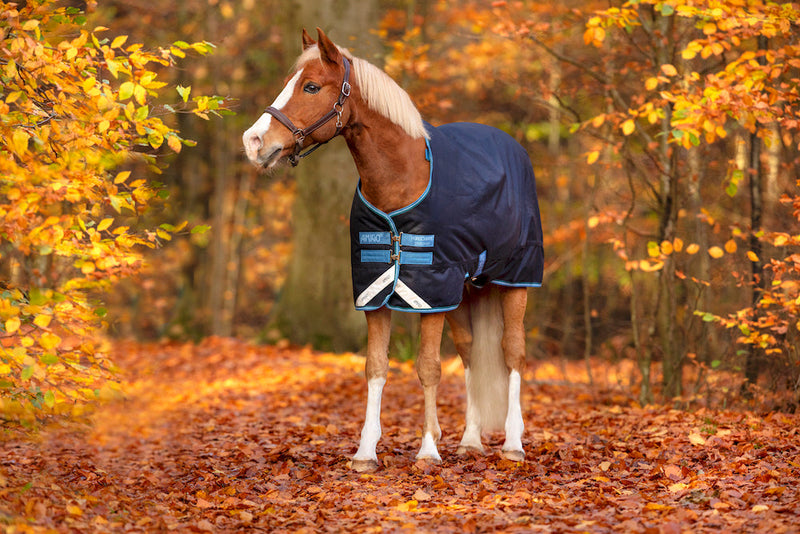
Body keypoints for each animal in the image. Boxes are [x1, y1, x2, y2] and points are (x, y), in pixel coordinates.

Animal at [243, 28, 543, 472]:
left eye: (311, 86)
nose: (253, 141)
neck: (402, 178)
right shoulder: (376, 291)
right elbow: (376, 367)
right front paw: (366, 452)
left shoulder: (430, 293)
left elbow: (429, 368)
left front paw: (428, 449)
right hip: (464, 288)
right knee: (471, 352)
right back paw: (471, 440)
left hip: (515, 280)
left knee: (513, 353)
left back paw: (512, 443)